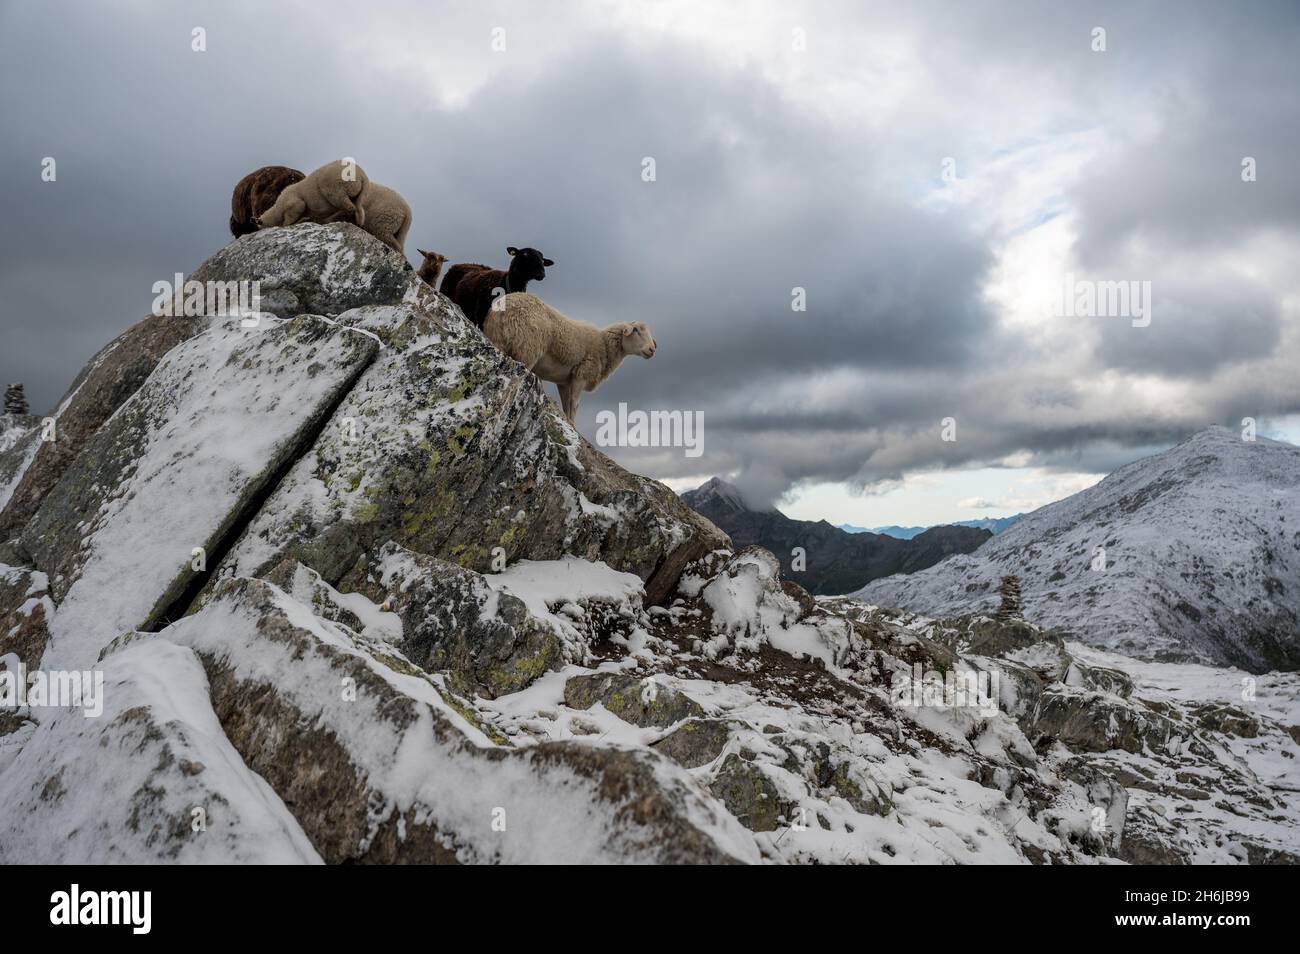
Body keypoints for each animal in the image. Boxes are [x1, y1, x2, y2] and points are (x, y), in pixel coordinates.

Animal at [483, 292, 656, 424]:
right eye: (636, 330)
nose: (652, 349)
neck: (604, 347)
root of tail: (501, 310)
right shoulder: (581, 374)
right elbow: (574, 404)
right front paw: (573, 425)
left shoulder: (564, 382)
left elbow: (566, 406)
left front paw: (569, 423)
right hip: (526, 350)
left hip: (499, 341)